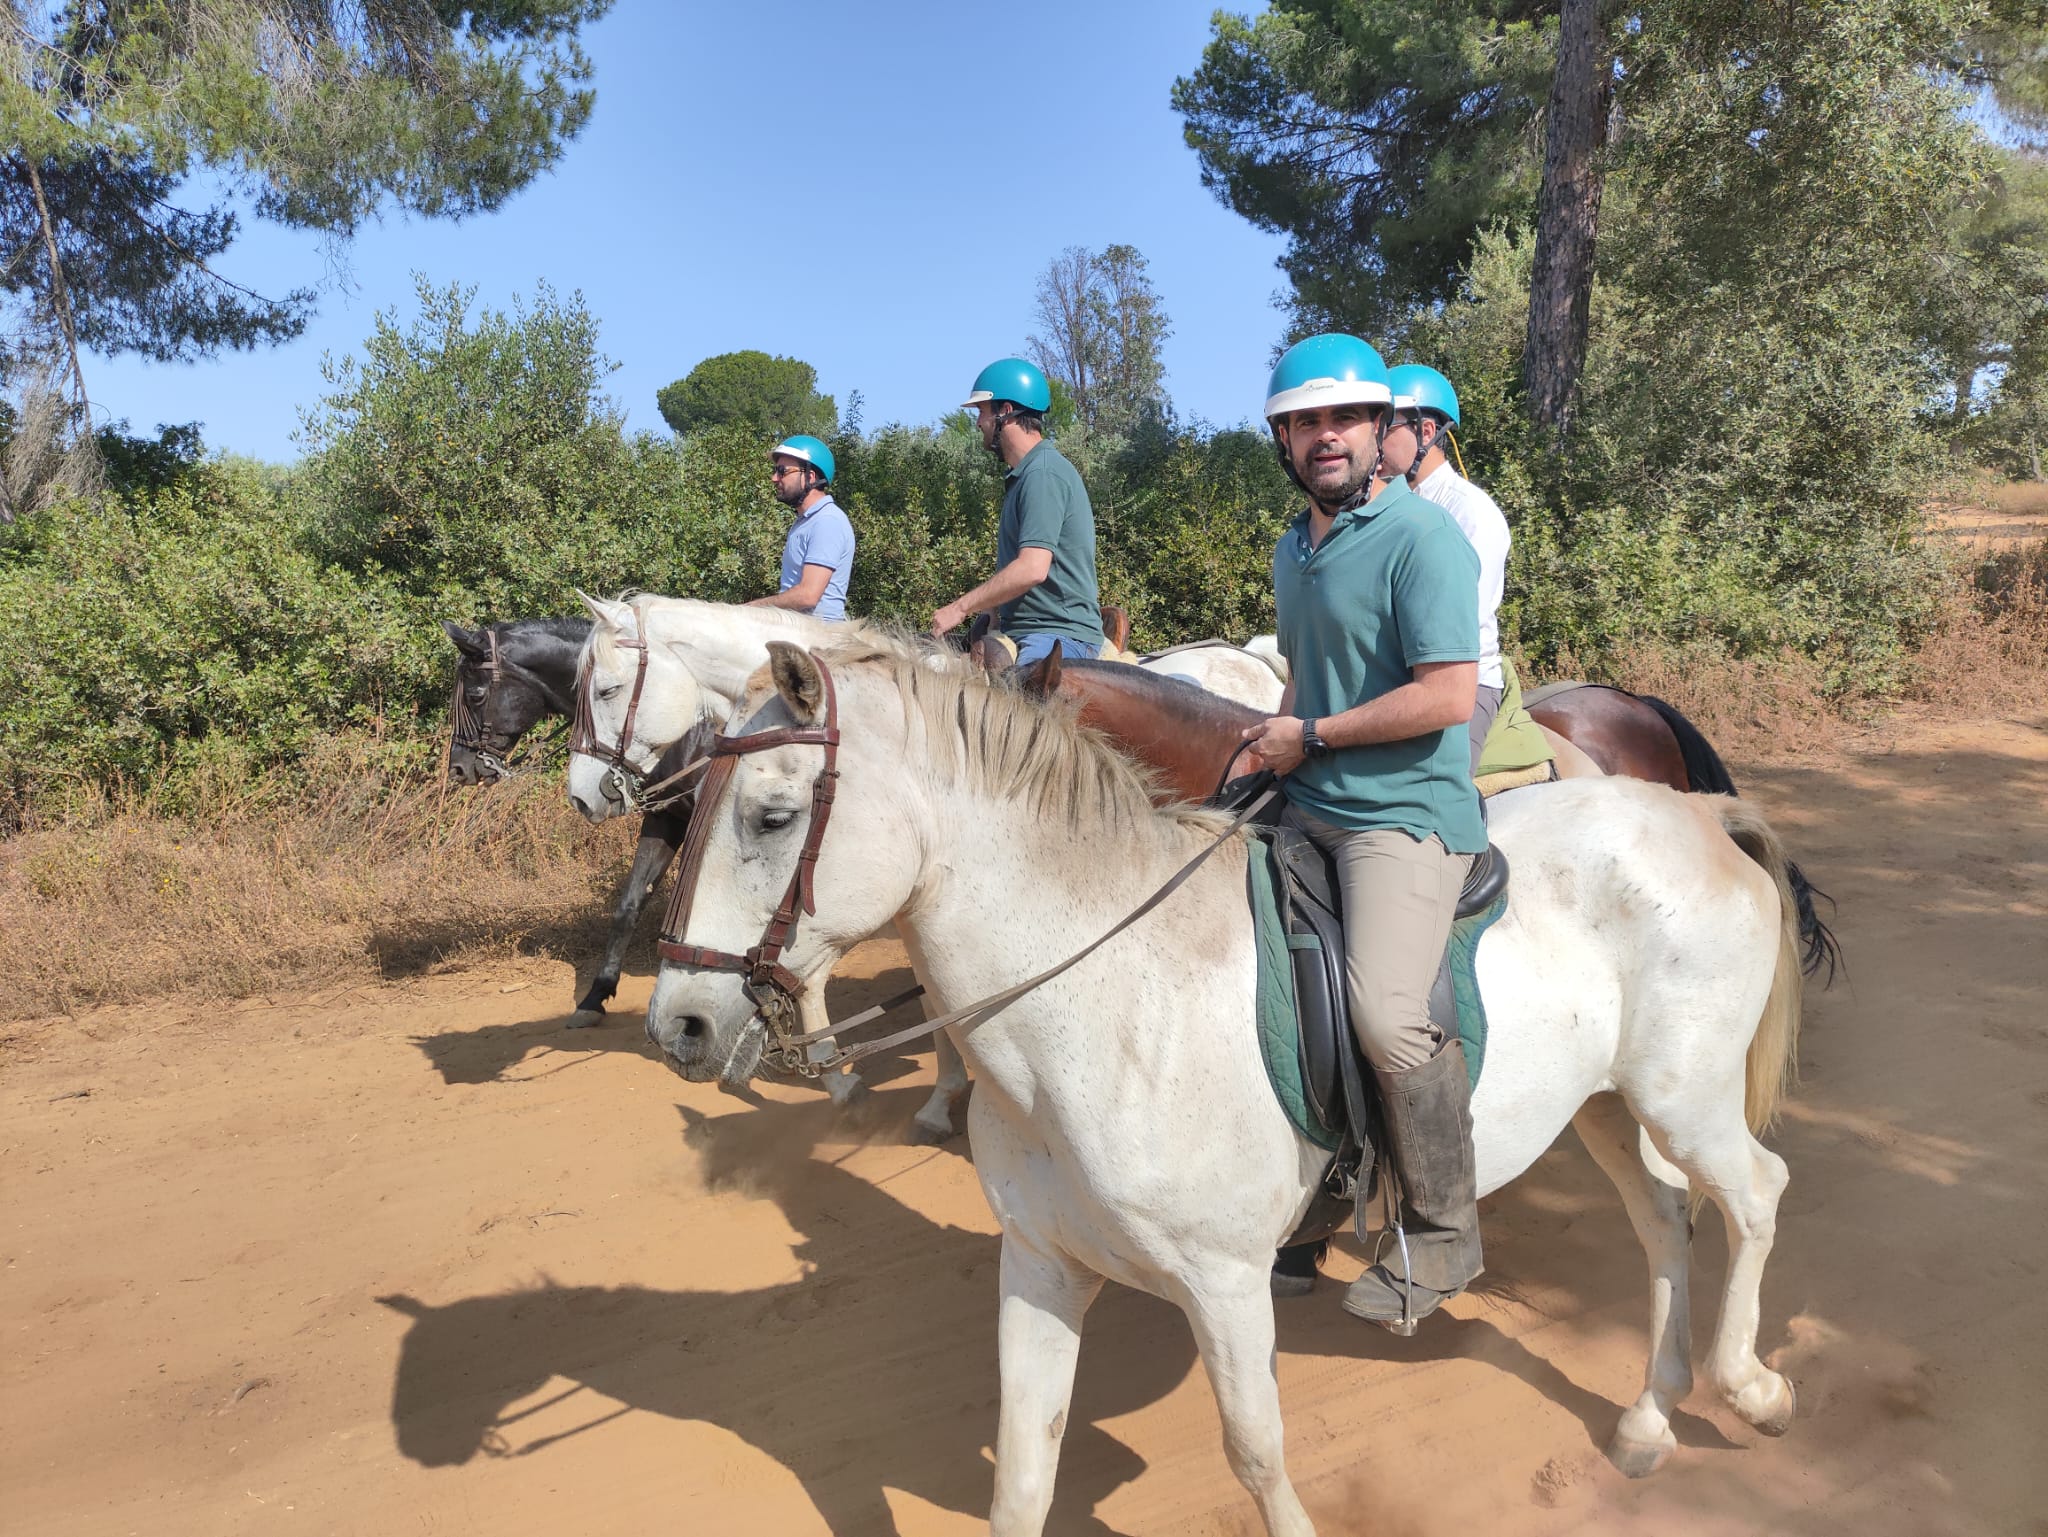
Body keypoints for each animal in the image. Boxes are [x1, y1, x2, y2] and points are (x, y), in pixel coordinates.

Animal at [645, 641, 1803, 1535]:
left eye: (771, 815)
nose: (678, 1025)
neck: (1108, 991)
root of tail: (1694, 815)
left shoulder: (1225, 1283)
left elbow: (1254, 1449)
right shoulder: (1042, 1267)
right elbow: (1023, 1471)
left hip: (1684, 1100)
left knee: (1754, 1195)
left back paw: (1748, 1386)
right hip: (1608, 1106)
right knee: (1665, 1221)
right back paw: (1648, 1418)